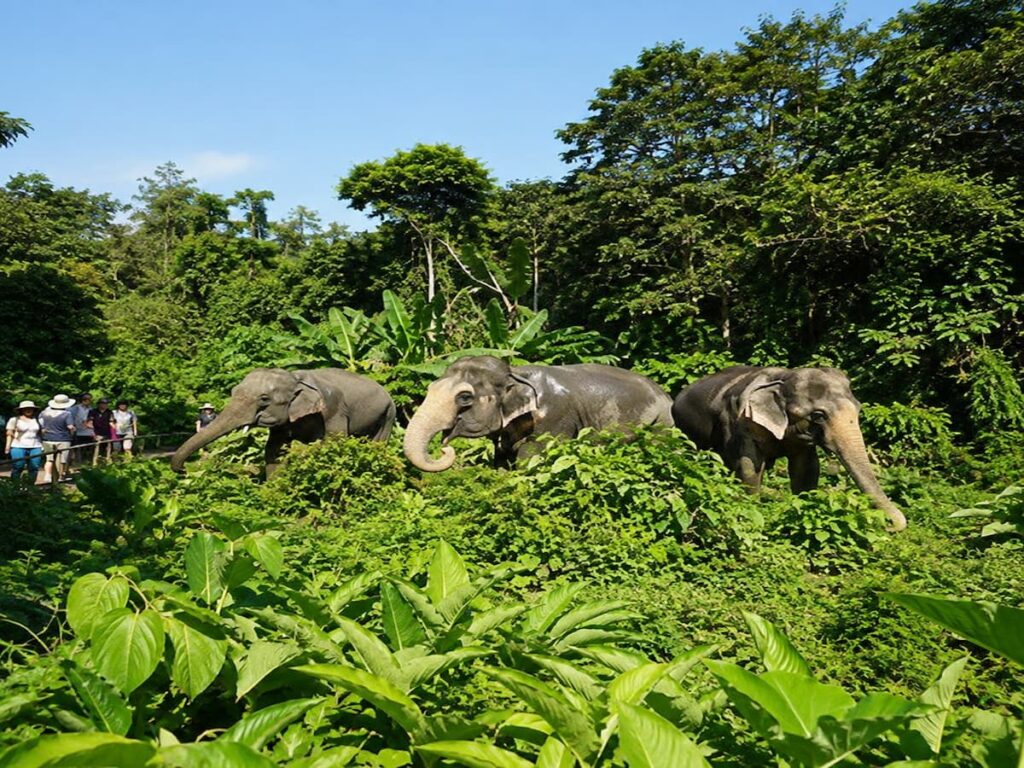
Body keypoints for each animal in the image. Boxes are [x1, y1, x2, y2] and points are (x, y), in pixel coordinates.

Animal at [171, 367, 396, 476]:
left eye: (264, 399)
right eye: (233, 392)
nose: (184, 470)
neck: (295, 377)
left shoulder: (334, 410)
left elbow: (333, 444)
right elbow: (274, 450)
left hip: (388, 414)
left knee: (378, 443)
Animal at [403, 355, 673, 472]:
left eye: (465, 397)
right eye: (430, 389)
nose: (444, 449)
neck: (515, 373)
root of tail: (666, 396)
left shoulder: (553, 420)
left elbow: (530, 459)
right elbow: (502, 459)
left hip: (661, 424)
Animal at [672, 366, 906, 530]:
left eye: (858, 409)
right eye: (818, 415)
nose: (887, 525)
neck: (783, 377)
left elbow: (807, 468)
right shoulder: (740, 423)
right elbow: (749, 467)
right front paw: (753, 513)